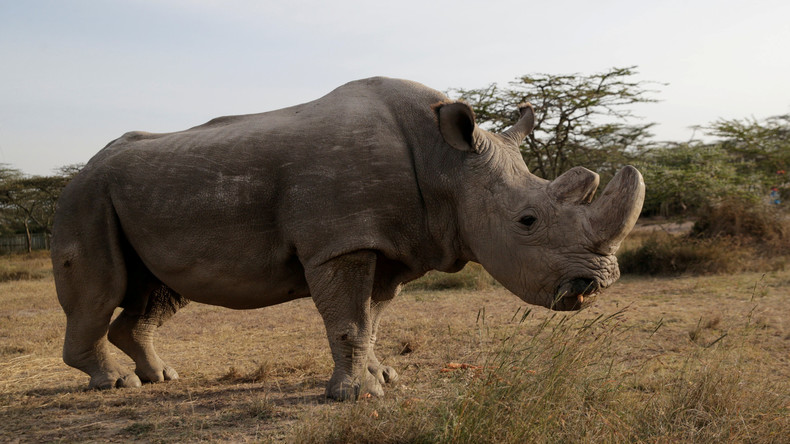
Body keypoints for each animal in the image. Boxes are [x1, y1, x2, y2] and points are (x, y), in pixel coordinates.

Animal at [49, 75, 648, 398]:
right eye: (527, 221)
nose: (597, 284)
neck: (448, 164)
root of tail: (80, 170)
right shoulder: (340, 243)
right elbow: (349, 320)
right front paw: (356, 396)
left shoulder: (392, 244)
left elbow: (372, 320)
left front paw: (385, 377)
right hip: (85, 199)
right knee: (101, 290)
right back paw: (116, 384)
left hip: (135, 196)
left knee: (157, 292)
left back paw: (161, 378)